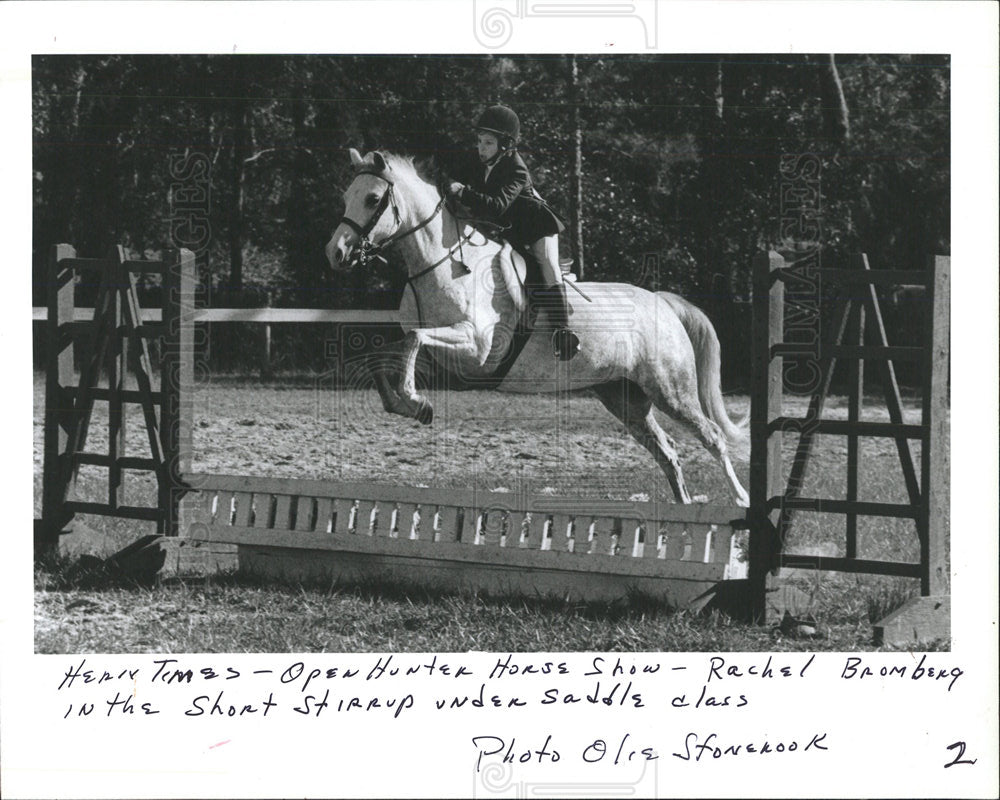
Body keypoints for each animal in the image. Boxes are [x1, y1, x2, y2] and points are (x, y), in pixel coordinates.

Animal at [324, 148, 748, 506]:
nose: (336, 253)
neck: (442, 264)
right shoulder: (444, 351)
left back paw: (740, 500)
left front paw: (415, 401)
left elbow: (412, 340)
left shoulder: (476, 349)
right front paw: (400, 404)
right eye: (345, 197)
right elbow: (387, 351)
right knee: (667, 451)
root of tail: (662, 302)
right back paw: (683, 507)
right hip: (623, 397)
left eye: (373, 199)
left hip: (671, 391)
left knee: (711, 436)